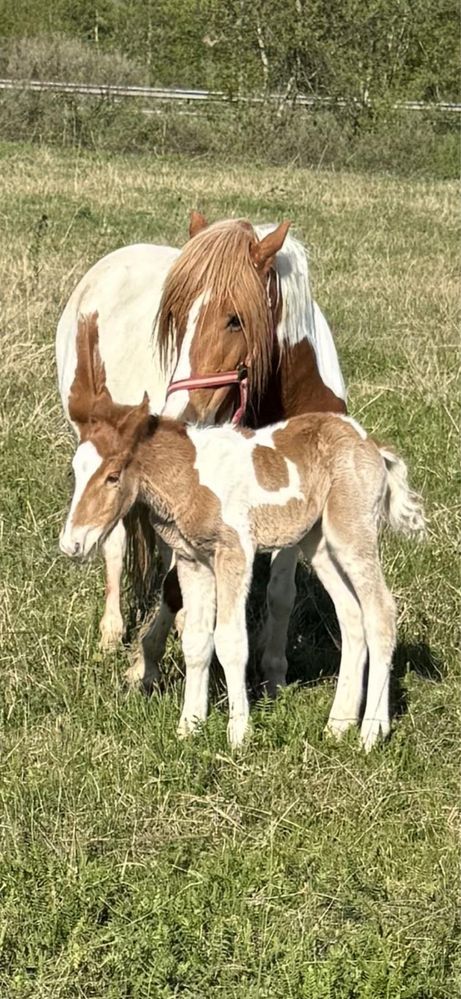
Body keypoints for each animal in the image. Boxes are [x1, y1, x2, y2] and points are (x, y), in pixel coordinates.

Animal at [56, 212, 344, 700]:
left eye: (235, 320)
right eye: (176, 317)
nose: (178, 414)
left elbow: (280, 592)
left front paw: (274, 672)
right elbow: (172, 584)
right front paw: (144, 663)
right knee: (114, 545)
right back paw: (112, 632)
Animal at [60, 318, 424, 752]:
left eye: (114, 476)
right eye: (76, 471)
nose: (72, 543)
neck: (189, 476)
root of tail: (371, 446)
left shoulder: (234, 553)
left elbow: (230, 641)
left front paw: (238, 732)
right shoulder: (192, 560)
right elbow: (196, 641)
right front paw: (189, 726)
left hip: (351, 533)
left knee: (380, 613)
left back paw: (371, 731)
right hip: (318, 544)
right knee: (353, 616)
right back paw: (338, 724)